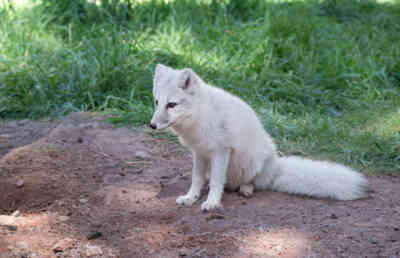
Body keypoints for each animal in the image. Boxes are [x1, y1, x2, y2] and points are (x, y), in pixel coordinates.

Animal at [150, 64, 368, 212]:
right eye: (157, 102)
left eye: (172, 105)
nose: (152, 125)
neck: (200, 115)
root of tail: (277, 166)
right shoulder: (199, 153)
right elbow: (196, 179)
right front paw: (190, 198)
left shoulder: (221, 151)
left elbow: (217, 182)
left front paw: (212, 203)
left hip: (253, 163)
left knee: (252, 183)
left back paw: (246, 189)